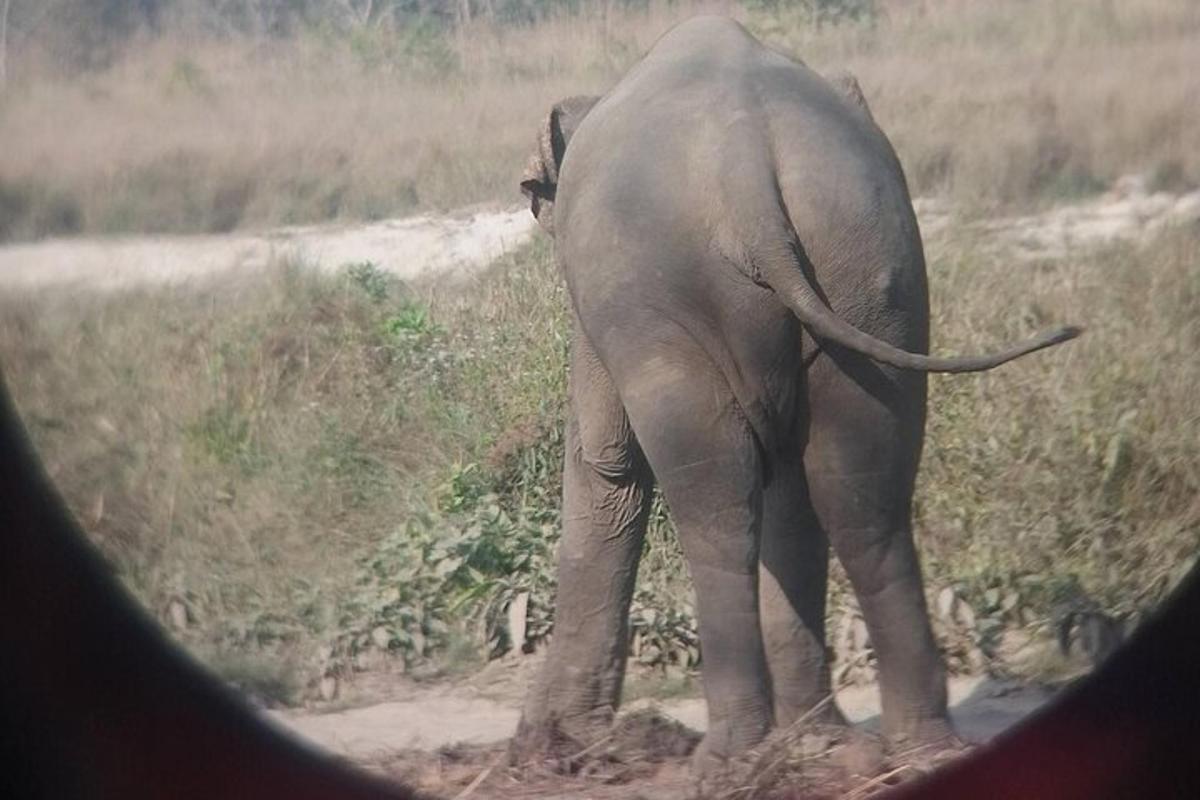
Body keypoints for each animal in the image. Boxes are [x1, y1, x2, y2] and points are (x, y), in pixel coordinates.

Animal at [506, 15, 1080, 767]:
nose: (538, 740)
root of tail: (746, 166)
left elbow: (608, 461)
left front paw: (551, 745)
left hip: (666, 293)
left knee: (720, 504)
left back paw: (729, 758)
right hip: (867, 264)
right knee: (859, 491)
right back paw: (904, 746)